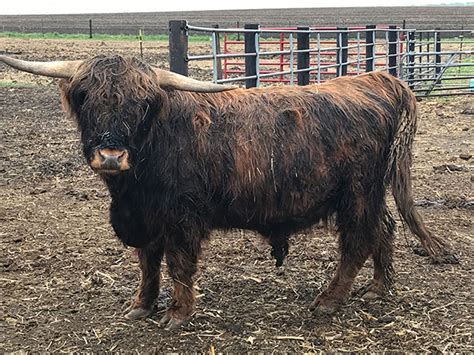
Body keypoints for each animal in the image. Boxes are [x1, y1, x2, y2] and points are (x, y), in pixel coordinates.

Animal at [1, 55, 458, 330]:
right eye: (85, 99)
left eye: (141, 103)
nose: (111, 156)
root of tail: (376, 80)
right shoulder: (145, 217)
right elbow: (148, 263)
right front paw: (141, 306)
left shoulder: (182, 217)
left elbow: (178, 265)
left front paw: (178, 314)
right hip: (370, 192)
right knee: (384, 228)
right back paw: (379, 288)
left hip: (357, 192)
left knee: (358, 241)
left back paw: (329, 300)